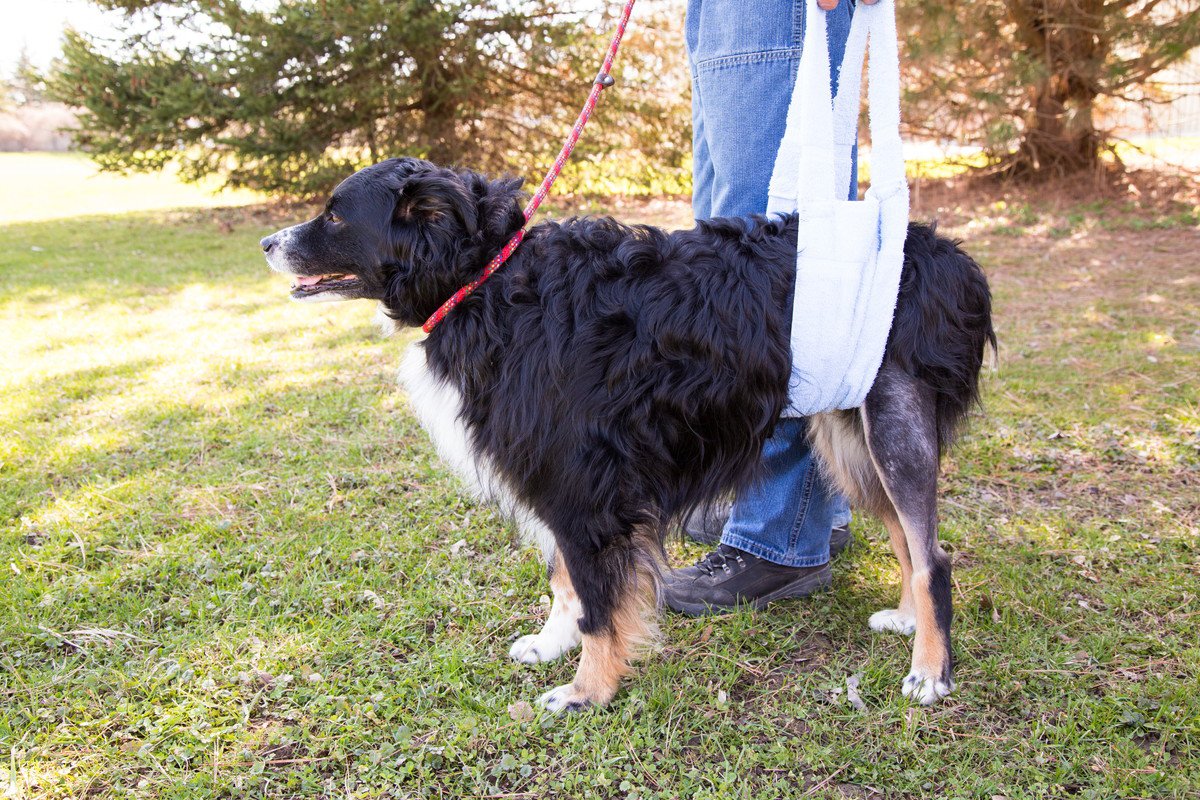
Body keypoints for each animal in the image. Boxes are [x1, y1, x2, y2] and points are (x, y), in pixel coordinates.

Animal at [260, 155, 993, 714]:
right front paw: (552, 645)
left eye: (335, 215)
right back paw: (907, 620)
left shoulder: (584, 486)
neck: (488, 281)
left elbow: (598, 601)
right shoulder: (559, 479)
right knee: (907, 540)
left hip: (891, 423)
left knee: (932, 555)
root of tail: (942, 253)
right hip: (849, 433)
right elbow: (566, 581)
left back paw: (931, 670)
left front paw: (586, 690)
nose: (267, 243)